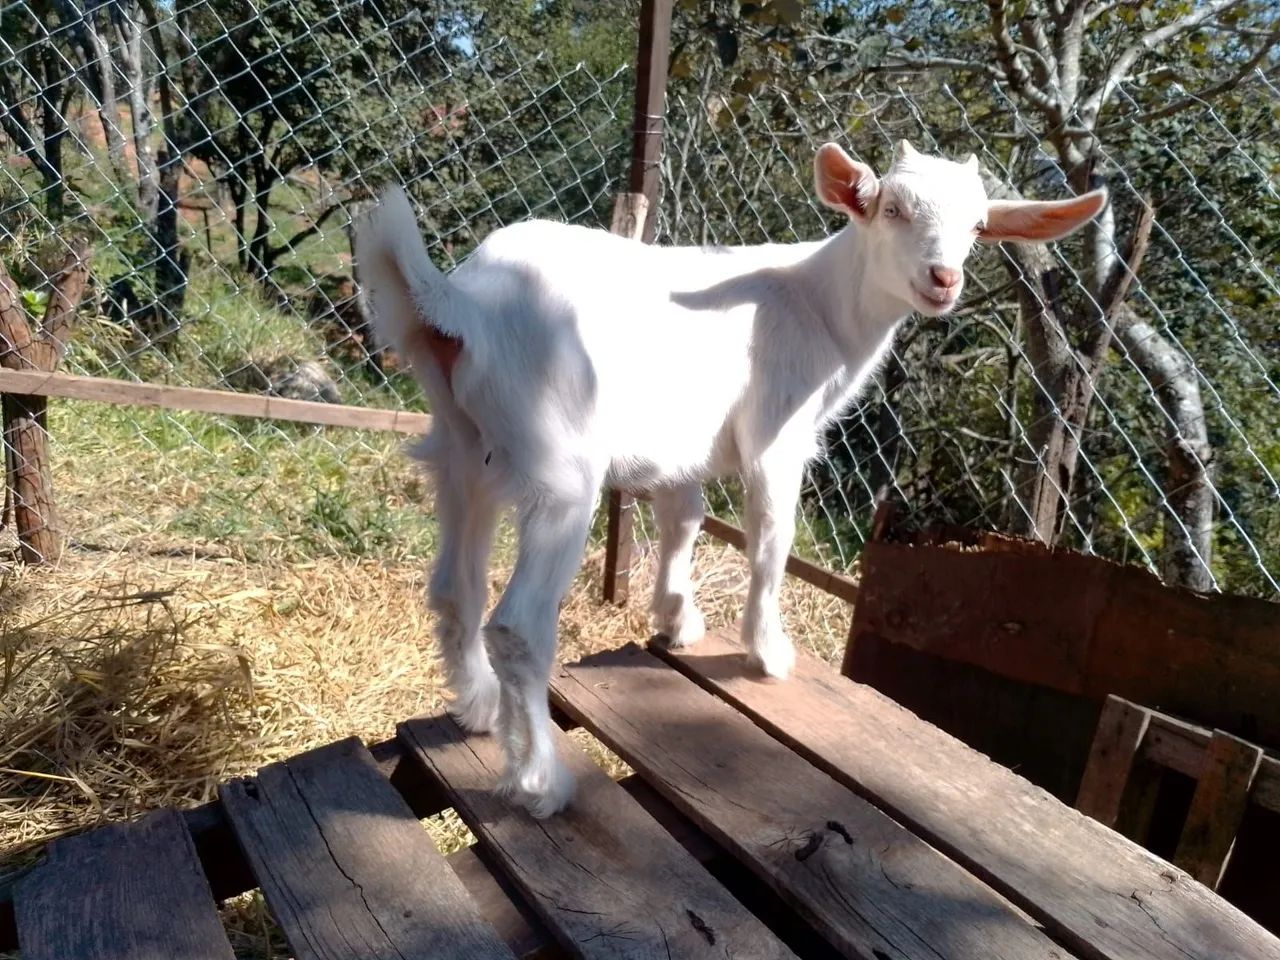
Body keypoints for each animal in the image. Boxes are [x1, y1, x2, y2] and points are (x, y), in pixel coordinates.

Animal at [357, 139, 1106, 817]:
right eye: (891, 207)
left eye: (979, 226)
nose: (942, 278)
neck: (821, 304)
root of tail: (460, 305)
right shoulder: (778, 433)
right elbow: (772, 537)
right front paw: (767, 651)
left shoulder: (678, 443)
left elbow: (683, 518)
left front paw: (677, 619)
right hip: (561, 466)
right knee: (519, 626)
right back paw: (542, 782)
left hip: (463, 449)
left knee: (455, 585)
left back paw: (479, 708)